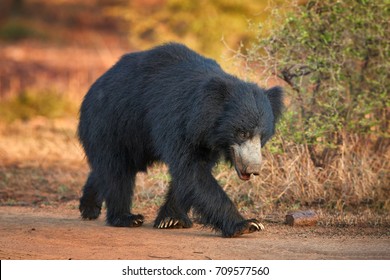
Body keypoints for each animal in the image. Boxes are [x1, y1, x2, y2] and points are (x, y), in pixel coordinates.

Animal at [77, 42, 284, 237]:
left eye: (262, 137)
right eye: (242, 133)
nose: (253, 168)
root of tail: (93, 87)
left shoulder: (204, 140)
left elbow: (189, 174)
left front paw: (171, 219)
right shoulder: (176, 121)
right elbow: (191, 171)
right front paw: (247, 224)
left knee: (107, 169)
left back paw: (89, 207)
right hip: (111, 124)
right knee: (117, 170)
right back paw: (126, 217)